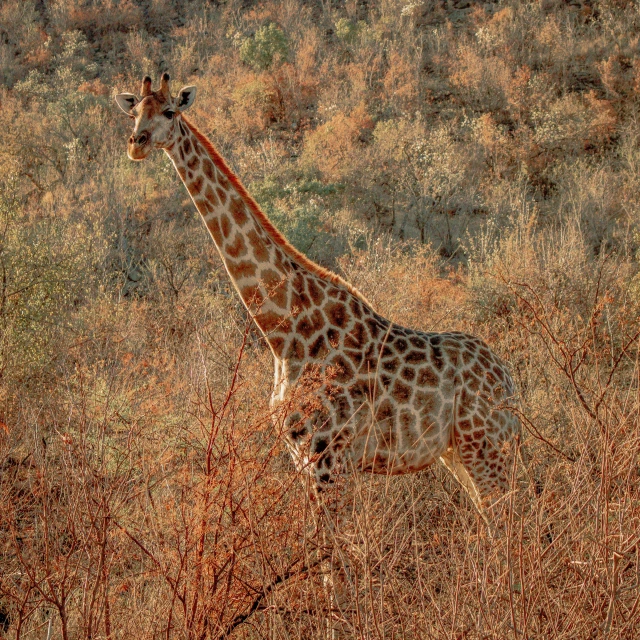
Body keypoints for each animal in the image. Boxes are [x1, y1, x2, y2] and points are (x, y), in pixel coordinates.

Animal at [115, 72, 520, 516]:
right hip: (457, 451)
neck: (283, 331)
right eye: (134, 113)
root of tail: (508, 379)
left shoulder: (326, 455)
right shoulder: (302, 455)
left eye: (170, 111)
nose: (137, 144)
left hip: (485, 444)